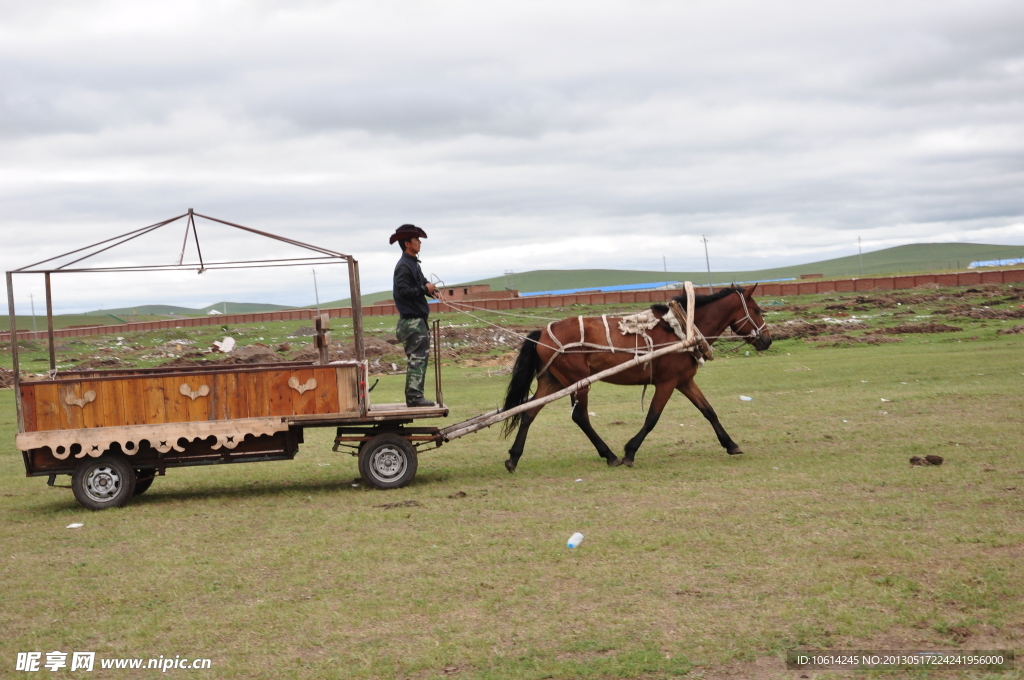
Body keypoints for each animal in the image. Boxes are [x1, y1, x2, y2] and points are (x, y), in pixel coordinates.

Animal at [500, 285, 772, 472]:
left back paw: (513, 457)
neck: (682, 330)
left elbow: (709, 411)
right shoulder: (667, 383)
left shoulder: (685, 382)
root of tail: (543, 333)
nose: (767, 340)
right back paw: (610, 455)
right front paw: (630, 452)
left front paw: (730, 444)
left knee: (528, 413)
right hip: (578, 382)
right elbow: (652, 418)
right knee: (580, 417)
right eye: (757, 310)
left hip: (553, 381)